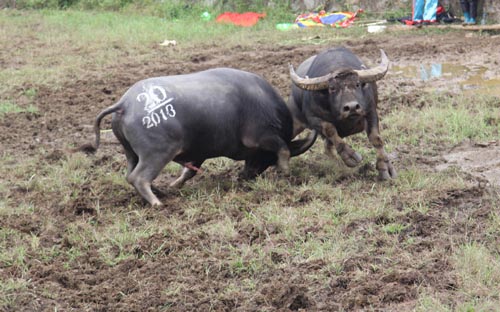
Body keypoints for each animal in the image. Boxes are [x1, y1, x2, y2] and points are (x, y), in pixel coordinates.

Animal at [86, 67, 316, 206]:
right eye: (266, 158)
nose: (246, 176)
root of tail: (124, 104)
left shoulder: (199, 151)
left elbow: (189, 172)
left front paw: (174, 185)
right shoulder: (263, 137)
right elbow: (283, 149)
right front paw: (286, 173)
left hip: (130, 153)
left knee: (130, 174)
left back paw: (160, 191)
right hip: (158, 153)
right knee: (138, 178)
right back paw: (157, 202)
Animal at [288, 45, 396, 179]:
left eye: (357, 84)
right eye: (332, 88)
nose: (352, 107)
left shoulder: (370, 111)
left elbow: (376, 138)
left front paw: (385, 167)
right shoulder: (313, 118)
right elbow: (330, 130)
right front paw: (350, 156)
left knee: (327, 147)